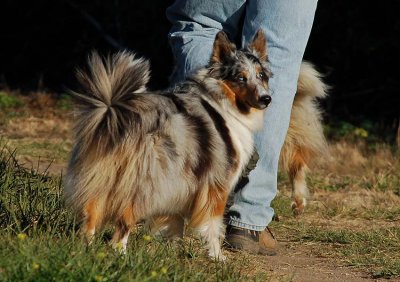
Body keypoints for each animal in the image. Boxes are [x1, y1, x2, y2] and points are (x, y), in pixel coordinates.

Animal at [65, 29, 326, 260]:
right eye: (240, 78)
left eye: (261, 75)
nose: (266, 99)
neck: (222, 98)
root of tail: (115, 109)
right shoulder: (216, 184)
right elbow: (212, 225)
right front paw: (217, 257)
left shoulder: (184, 182)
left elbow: (174, 222)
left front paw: (170, 249)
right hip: (145, 183)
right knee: (123, 222)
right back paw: (119, 255)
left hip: (104, 176)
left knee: (91, 215)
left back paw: (86, 251)